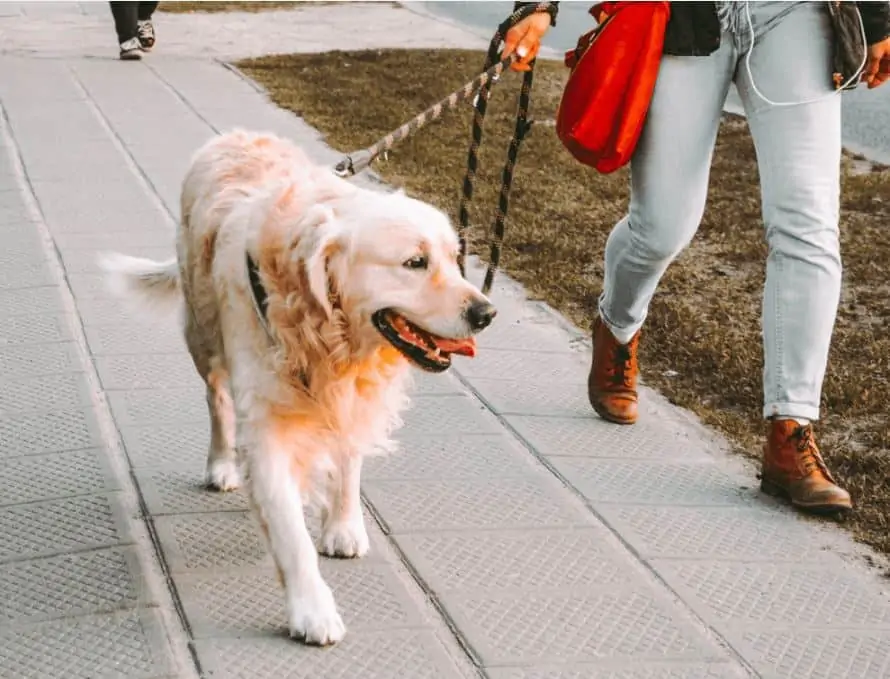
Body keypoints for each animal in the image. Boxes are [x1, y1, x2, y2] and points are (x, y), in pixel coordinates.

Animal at [102, 129, 500, 648]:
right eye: (415, 262)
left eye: (455, 260)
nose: (486, 313)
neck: (328, 333)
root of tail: (234, 135)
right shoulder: (266, 426)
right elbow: (291, 534)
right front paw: (312, 610)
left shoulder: (352, 398)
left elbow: (348, 461)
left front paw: (343, 524)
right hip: (202, 335)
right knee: (217, 400)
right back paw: (221, 464)